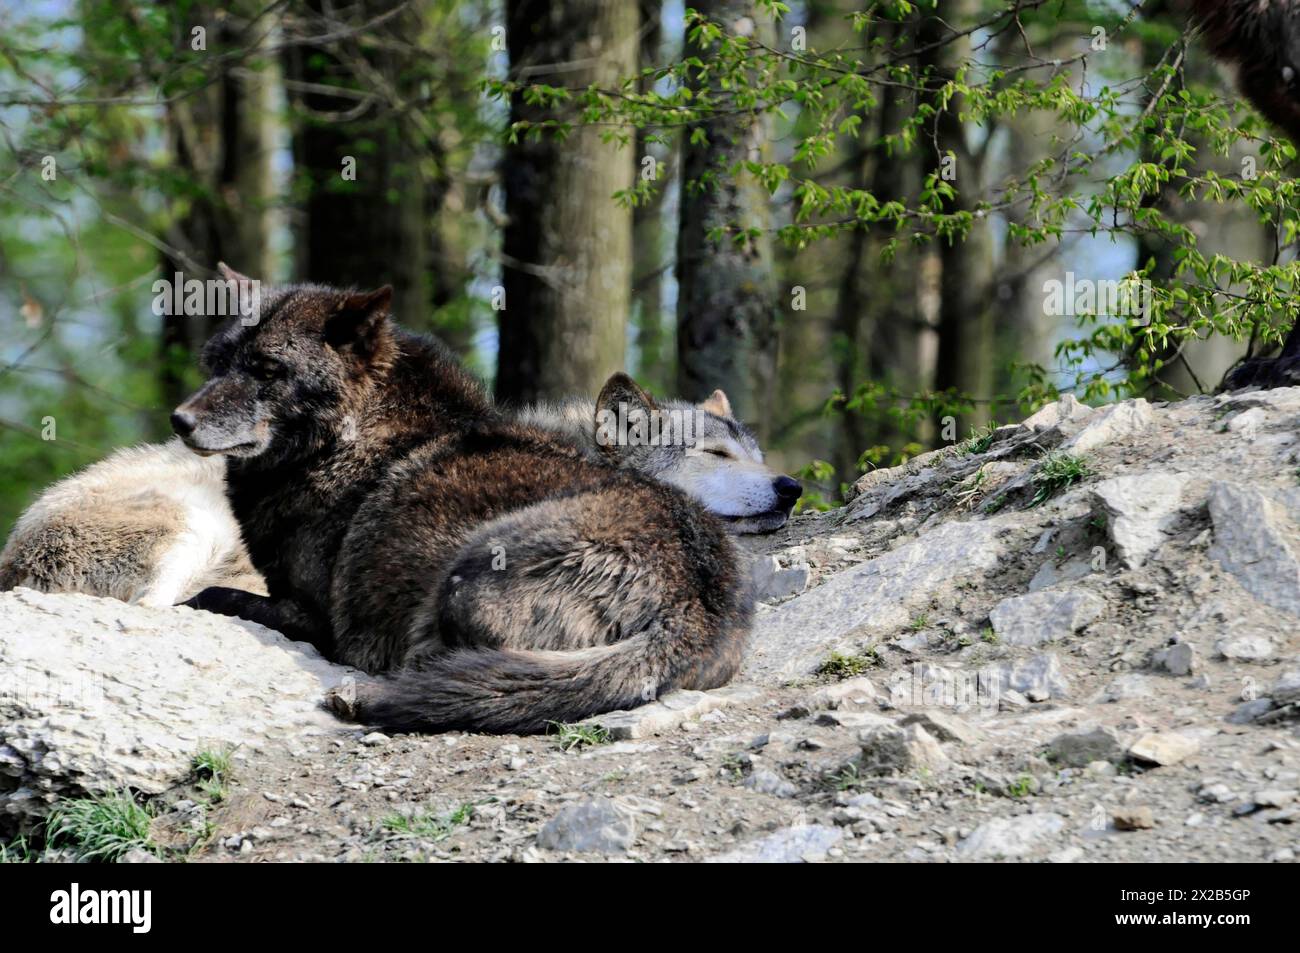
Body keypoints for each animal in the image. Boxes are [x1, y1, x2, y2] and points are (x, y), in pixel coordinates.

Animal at [172, 271, 754, 733]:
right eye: (216, 364)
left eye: (269, 370)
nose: (180, 420)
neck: (349, 440)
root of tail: (696, 605)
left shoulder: (314, 620)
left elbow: (207, 596)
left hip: (469, 576)